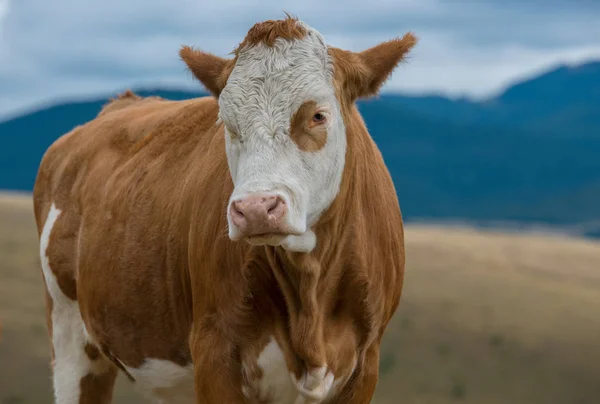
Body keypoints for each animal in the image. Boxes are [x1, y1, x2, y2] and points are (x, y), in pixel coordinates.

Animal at [32, 16, 418, 404]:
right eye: (229, 125)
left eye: (318, 115)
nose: (256, 209)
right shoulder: (214, 350)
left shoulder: (365, 362)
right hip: (69, 336)